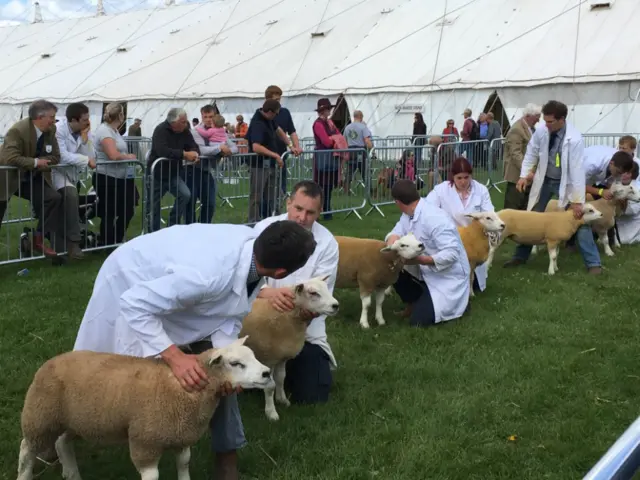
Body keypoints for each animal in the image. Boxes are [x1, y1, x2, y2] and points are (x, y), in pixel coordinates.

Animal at [15, 336, 270, 480]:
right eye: (235, 363)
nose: (266, 373)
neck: (183, 390)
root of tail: (53, 360)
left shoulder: (181, 437)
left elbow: (184, 464)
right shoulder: (145, 441)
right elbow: (152, 475)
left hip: (77, 418)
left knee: (61, 442)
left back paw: (72, 475)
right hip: (41, 416)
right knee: (27, 449)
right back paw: (25, 475)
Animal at [239, 276, 340, 422]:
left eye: (327, 288)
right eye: (313, 293)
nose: (336, 305)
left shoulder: (282, 357)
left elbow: (281, 378)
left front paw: (282, 400)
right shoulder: (267, 358)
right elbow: (270, 387)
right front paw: (271, 413)